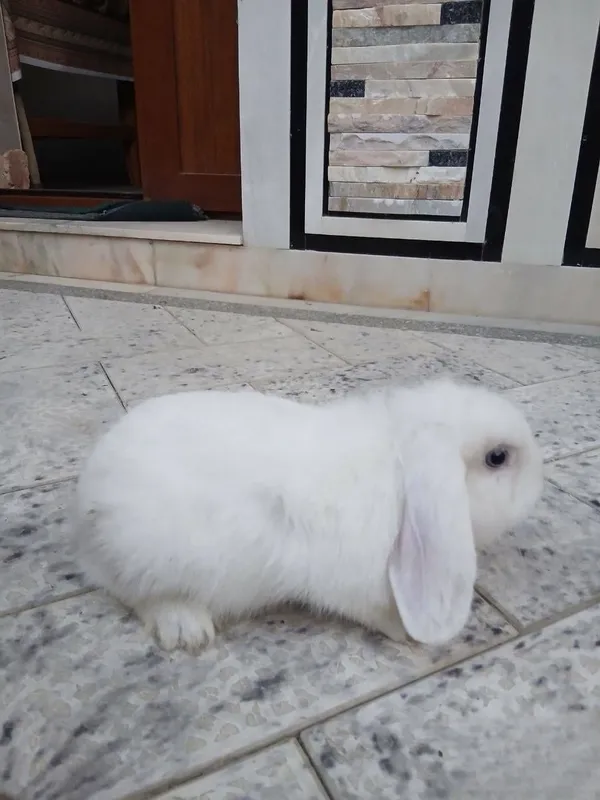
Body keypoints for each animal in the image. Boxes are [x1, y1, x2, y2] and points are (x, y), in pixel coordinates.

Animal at [72, 378, 543, 652]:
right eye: (497, 458)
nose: (540, 476)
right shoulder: (350, 582)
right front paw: (405, 633)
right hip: (153, 559)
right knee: (135, 593)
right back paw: (187, 630)